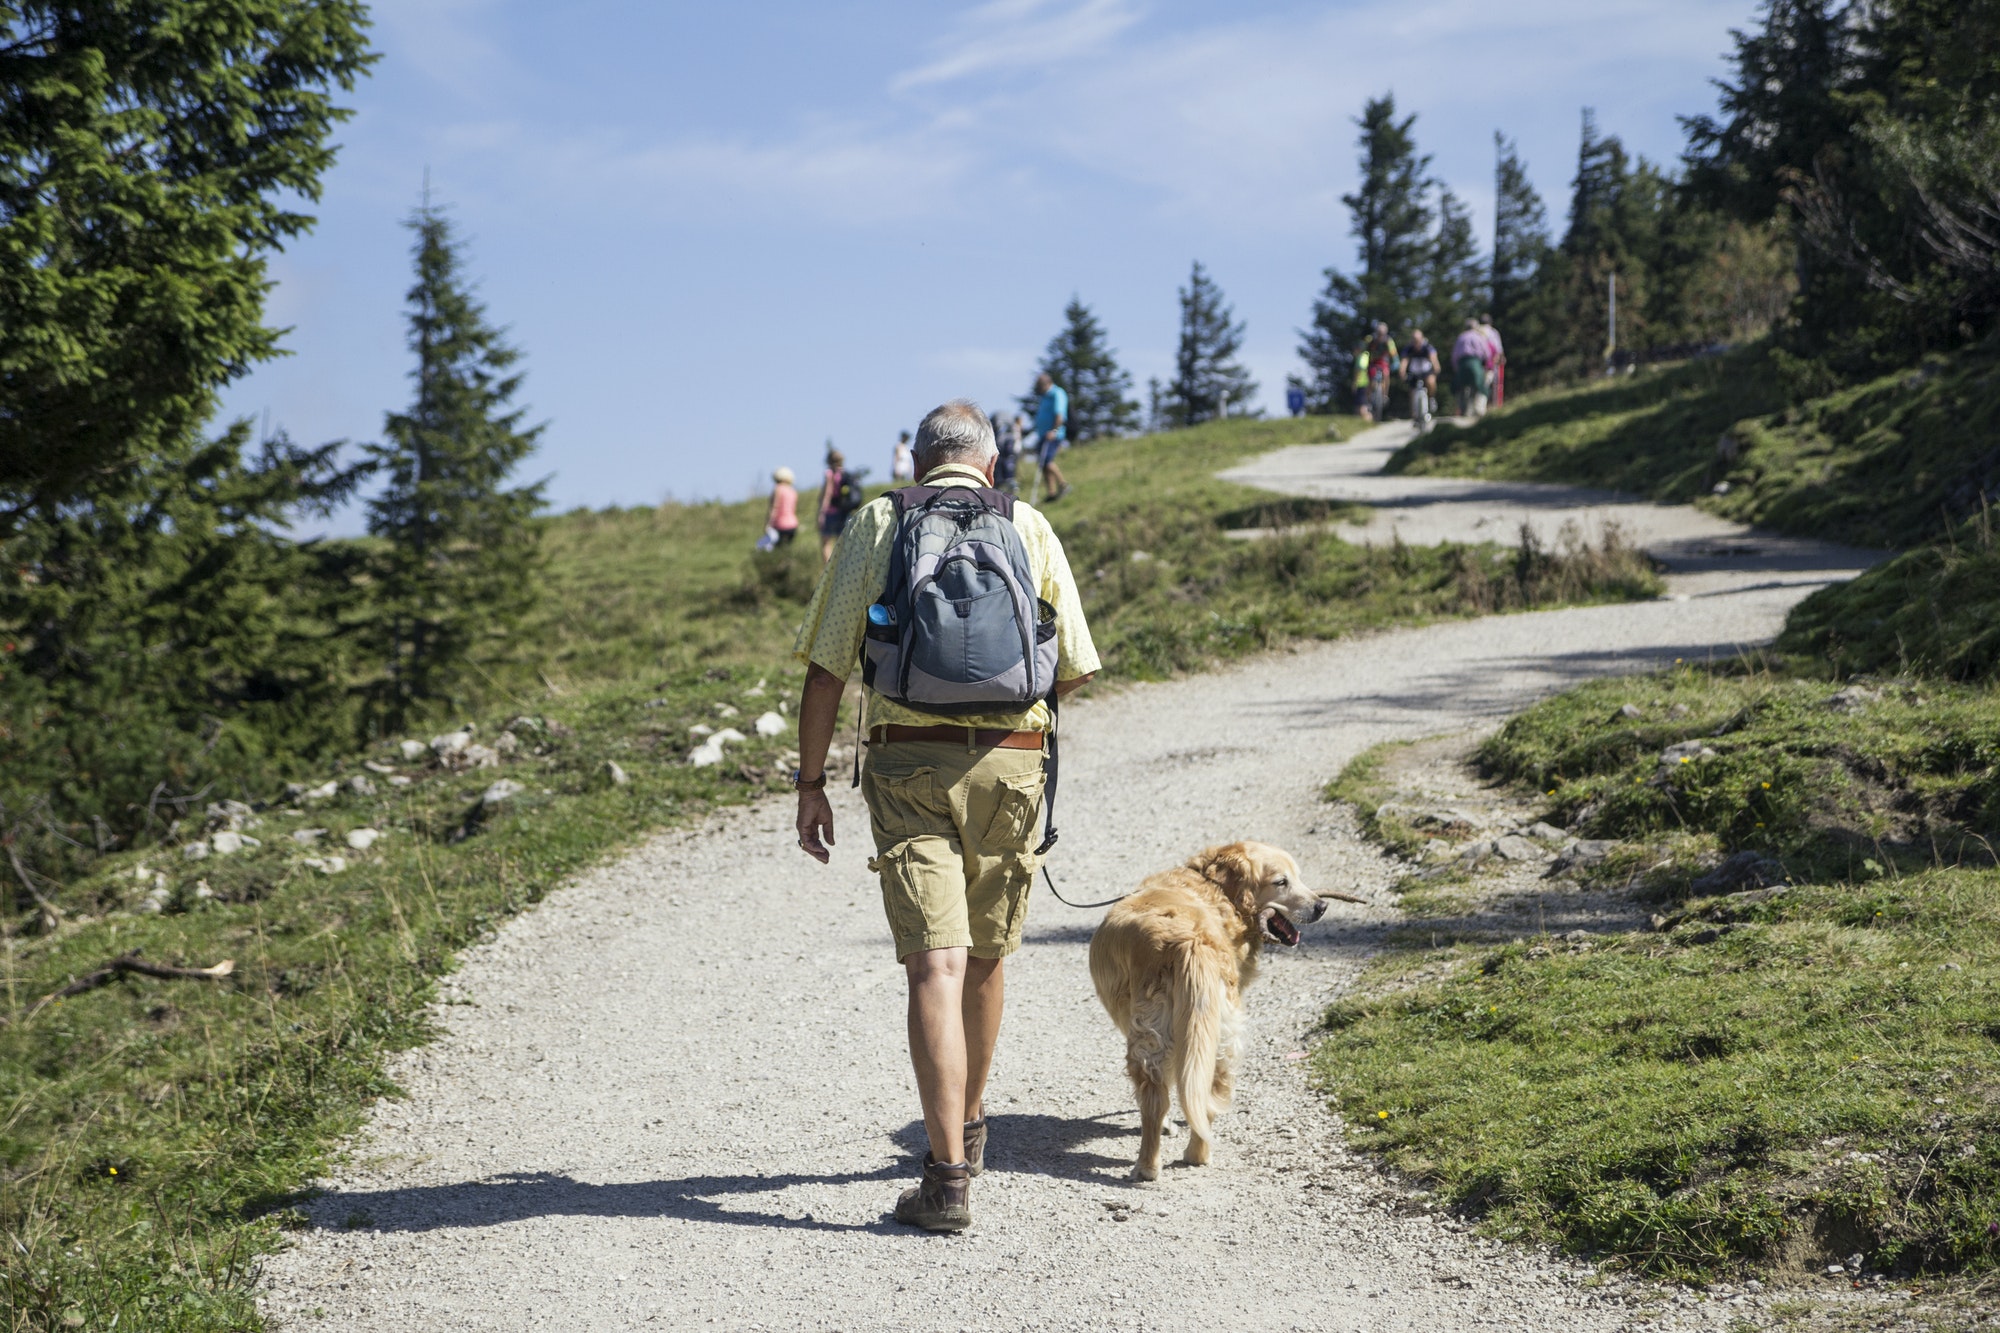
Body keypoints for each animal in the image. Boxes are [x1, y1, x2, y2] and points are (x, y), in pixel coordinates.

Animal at [1096, 840, 1328, 1176]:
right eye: (1282, 881)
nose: (1322, 906)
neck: (1210, 888)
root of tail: (1189, 941)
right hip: (1219, 1038)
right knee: (1202, 1098)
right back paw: (1193, 1156)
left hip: (1156, 1037)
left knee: (1157, 1100)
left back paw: (1149, 1167)